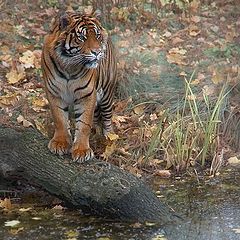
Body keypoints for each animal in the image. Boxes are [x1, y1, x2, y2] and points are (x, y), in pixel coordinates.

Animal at [41, 9, 118, 163]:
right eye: (82, 37)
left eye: (97, 36)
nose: (97, 52)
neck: (69, 66)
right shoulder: (54, 92)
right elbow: (60, 119)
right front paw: (60, 143)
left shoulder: (87, 95)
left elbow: (84, 124)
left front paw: (82, 151)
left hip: (107, 94)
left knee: (107, 118)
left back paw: (108, 137)